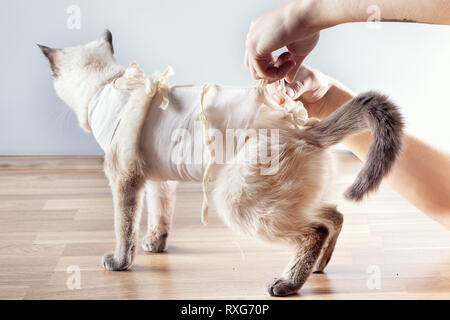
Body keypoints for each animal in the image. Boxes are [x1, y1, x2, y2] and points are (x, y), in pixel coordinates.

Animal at [39, 30, 404, 298]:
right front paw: (155, 246)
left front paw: (119, 263)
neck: (107, 86)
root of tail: (306, 128)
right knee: (334, 216)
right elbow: (160, 216)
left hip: (238, 202)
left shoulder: (124, 180)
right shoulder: (158, 180)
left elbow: (123, 229)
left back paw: (285, 284)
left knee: (316, 229)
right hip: (282, 200)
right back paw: (318, 268)